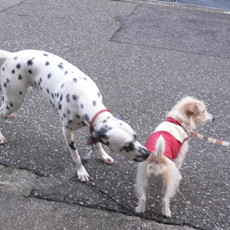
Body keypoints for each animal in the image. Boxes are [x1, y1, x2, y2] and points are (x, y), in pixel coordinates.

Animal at [0, 49, 150, 181]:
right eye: (126, 146)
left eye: (136, 137)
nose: (148, 153)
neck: (82, 95)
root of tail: (12, 55)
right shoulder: (67, 132)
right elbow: (76, 156)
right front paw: (81, 171)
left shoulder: (92, 127)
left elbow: (98, 143)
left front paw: (104, 155)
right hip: (14, 101)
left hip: (11, 101)